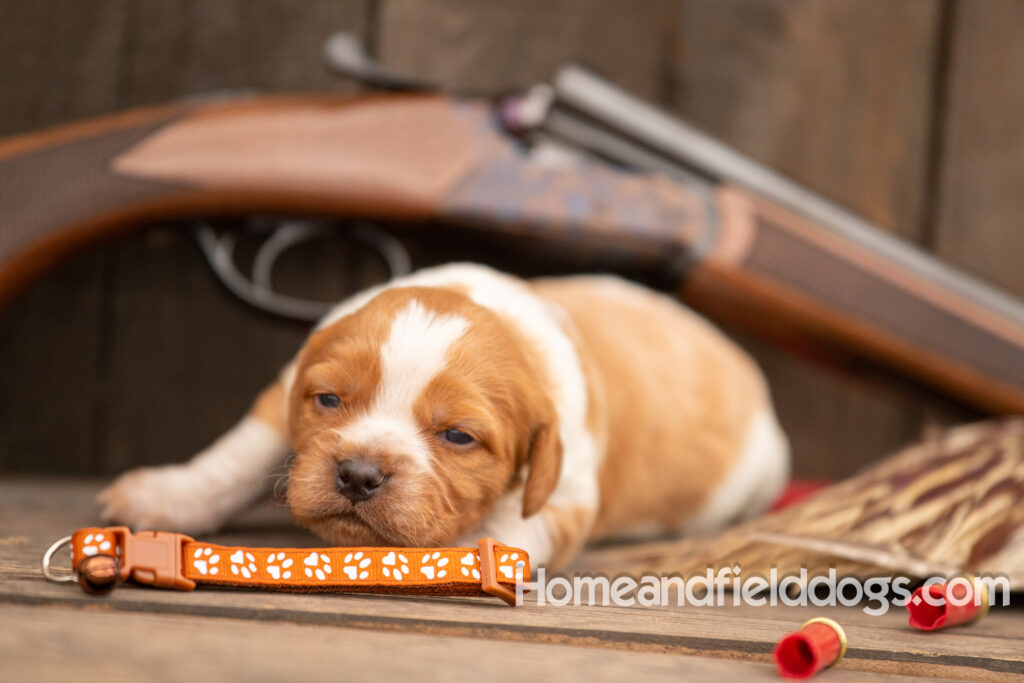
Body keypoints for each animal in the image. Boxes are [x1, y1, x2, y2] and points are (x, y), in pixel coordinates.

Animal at [99, 264, 786, 573]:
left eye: (458, 436)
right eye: (329, 401)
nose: (357, 475)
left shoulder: (565, 490)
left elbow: (507, 526)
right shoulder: (286, 388)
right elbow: (237, 456)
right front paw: (167, 496)